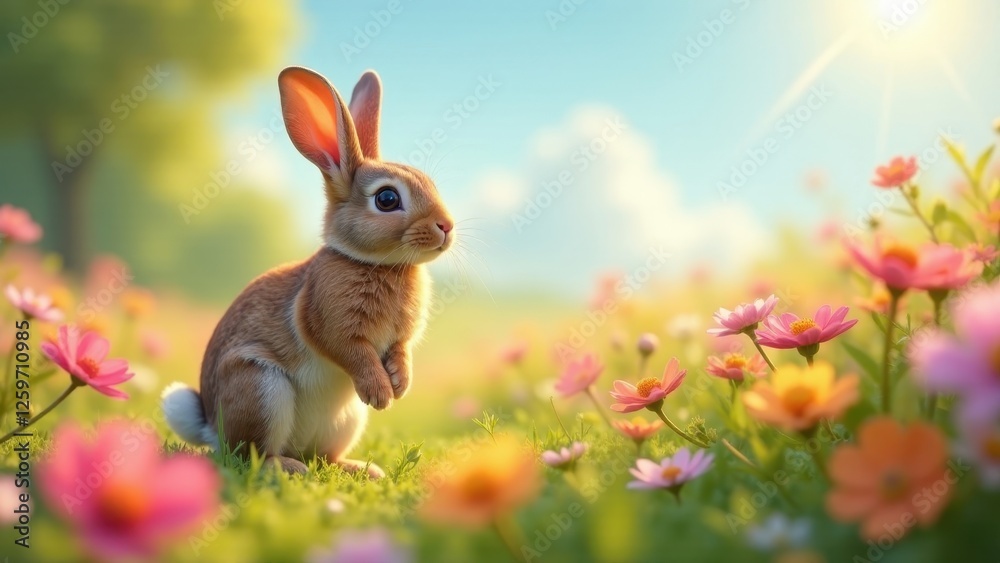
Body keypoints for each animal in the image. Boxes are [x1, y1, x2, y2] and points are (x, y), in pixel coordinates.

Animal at [161, 66, 454, 476]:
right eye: (387, 199)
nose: (447, 226)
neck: (377, 264)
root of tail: (210, 427)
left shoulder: (399, 338)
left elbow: (400, 351)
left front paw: (400, 383)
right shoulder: (331, 323)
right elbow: (352, 353)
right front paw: (381, 393)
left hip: (345, 421)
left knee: (323, 456)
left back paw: (361, 469)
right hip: (260, 388)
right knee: (249, 454)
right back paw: (285, 467)